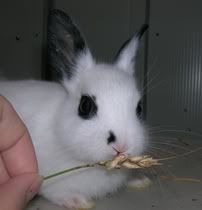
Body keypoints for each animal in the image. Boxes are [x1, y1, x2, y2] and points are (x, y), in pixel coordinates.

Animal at [0, 9, 148, 208]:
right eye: (85, 106)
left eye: (139, 108)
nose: (122, 146)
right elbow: (53, 191)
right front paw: (79, 202)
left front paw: (139, 180)